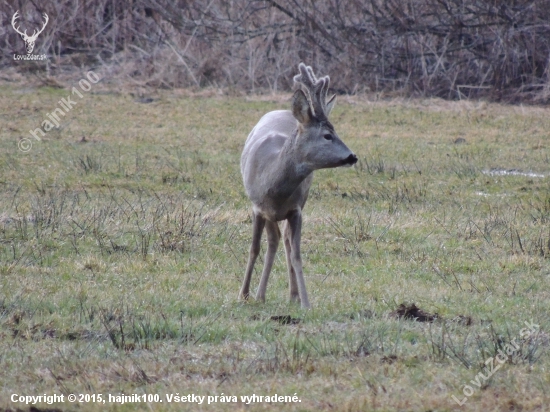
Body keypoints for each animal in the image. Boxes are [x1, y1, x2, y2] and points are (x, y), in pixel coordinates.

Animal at [240, 62, 360, 308]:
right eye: (327, 135)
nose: (353, 156)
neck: (272, 184)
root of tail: (285, 111)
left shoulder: (296, 210)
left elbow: (296, 254)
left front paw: (305, 302)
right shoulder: (257, 207)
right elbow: (254, 249)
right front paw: (243, 294)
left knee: (283, 240)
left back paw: (290, 295)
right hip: (269, 213)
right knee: (274, 241)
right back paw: (260, 295)